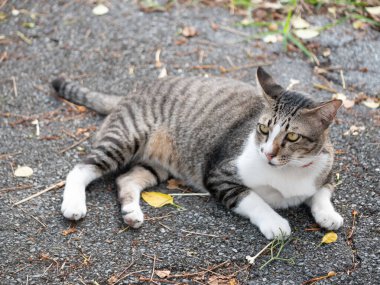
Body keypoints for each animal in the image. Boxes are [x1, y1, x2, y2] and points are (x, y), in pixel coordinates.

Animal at [51, 67, 344, 239]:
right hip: (125, 138)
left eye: (292, 136)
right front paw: (276, 223)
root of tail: (131, 93)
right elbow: (253, 199)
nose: (268, 154)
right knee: (80, 168)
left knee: (125, 179)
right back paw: (74, 205)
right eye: (263, 129)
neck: (288, 170)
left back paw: (131, 213)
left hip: (158, 164)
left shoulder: (326, 171)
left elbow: (322, 193)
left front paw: (328, 215)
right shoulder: (218, 176)